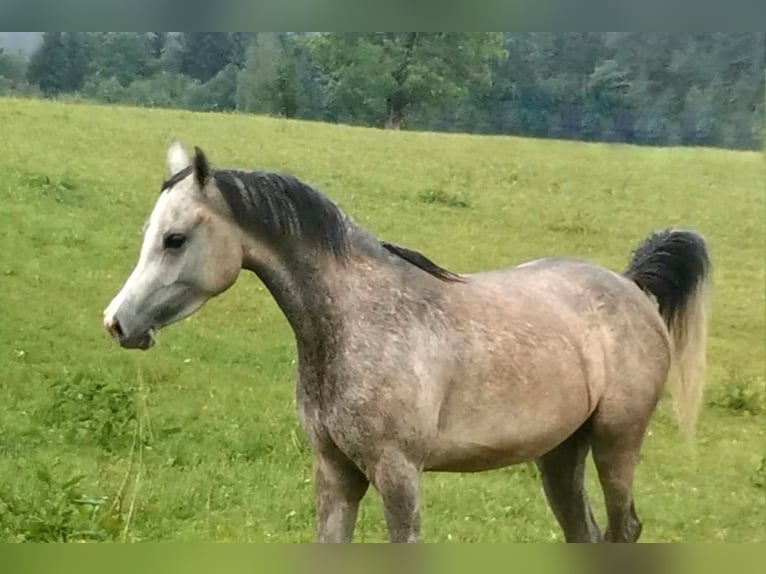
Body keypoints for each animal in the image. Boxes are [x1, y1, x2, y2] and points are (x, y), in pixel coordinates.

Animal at [103, 141, 711, 543]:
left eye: (175, 239)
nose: (116, 323)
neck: (359, 320)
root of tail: (631, 286)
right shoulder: (335, 474)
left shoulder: (398, 475)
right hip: (562, 455)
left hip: (616, 442)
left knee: (623, 529)